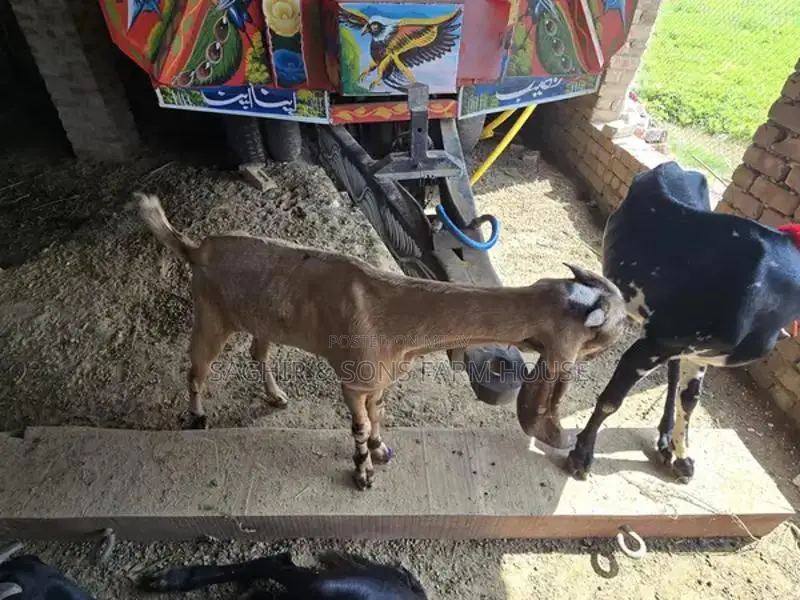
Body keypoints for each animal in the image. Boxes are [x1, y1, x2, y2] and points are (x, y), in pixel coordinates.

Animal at [135, 192, 627, 489]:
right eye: (608, 328)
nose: (632, 320)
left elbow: (378, 414)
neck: (394, 311)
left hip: (262, 320)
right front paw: (363, 474)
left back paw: (275, 396)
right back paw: (197, 417)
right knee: (196, 368)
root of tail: (194, 247)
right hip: (210, 315)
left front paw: (381, 449)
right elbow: (357, 425)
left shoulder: (381, 377)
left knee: (259, 352)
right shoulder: (353, 381)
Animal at [566, 161, 800, 483]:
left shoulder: (699, 353)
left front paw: (682, 455)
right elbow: (612, 400)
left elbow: (689, 399)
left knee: (674, 375)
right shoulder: (655, 344)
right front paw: (581, 455)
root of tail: (674, 164)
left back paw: (666, 441)